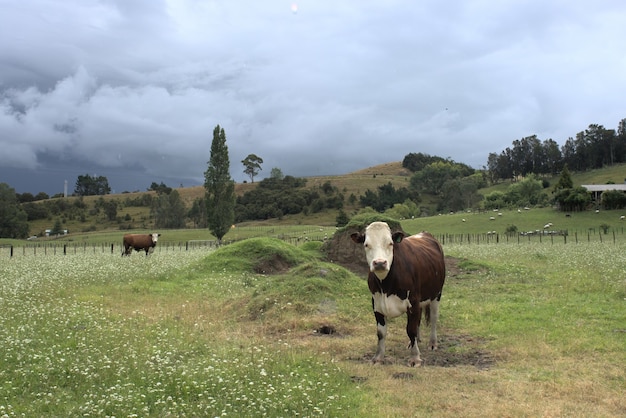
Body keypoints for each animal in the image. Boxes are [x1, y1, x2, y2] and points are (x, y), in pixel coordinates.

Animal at [348, 222, 446, 366]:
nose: (379, 263)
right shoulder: (376, 304)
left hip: (436, 294)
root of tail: (424, 233)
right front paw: (378, 357)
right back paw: (415, 342)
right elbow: (381, 333)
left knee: (433, 318)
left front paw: (415, 358)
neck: (385, 286)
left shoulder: (413, 302)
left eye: (390, 243)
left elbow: (411, 330)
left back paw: (432, 343)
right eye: (366, 244)